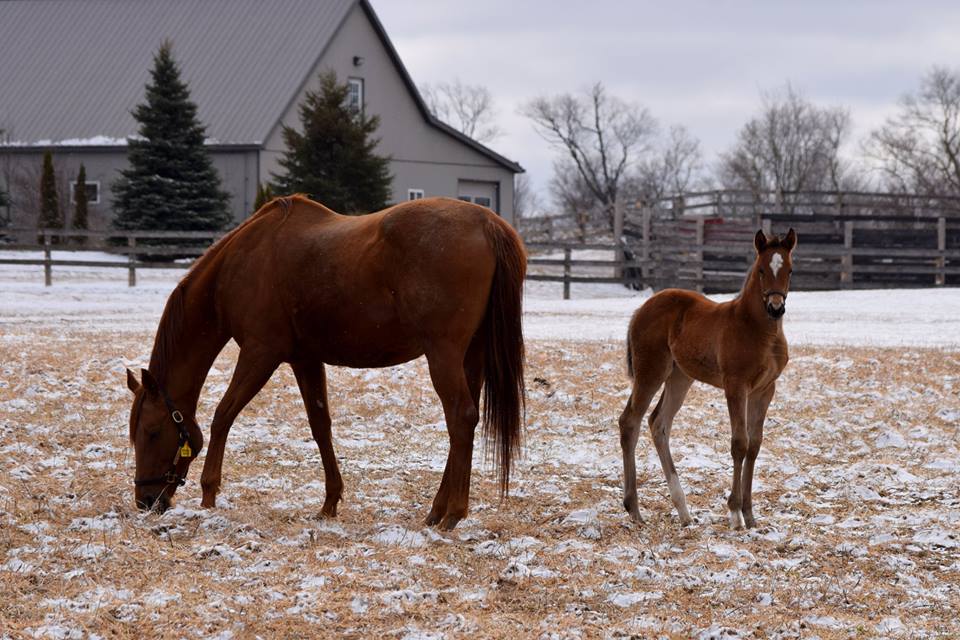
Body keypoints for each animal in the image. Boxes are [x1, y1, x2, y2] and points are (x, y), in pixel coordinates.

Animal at [624, 228, 796, 528]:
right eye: (761, 270)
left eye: (789, 270)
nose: (775, 308)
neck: (757, 329)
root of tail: (640, 310)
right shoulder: (735, 385)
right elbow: (739, 443)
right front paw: (735, 514)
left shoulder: (765, 389)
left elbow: (755, 445)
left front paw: (750, 515)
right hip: (651, 372)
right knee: (630, 422)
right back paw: (634, 509)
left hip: (680, 377)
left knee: (658, 423)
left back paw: (683, 511)